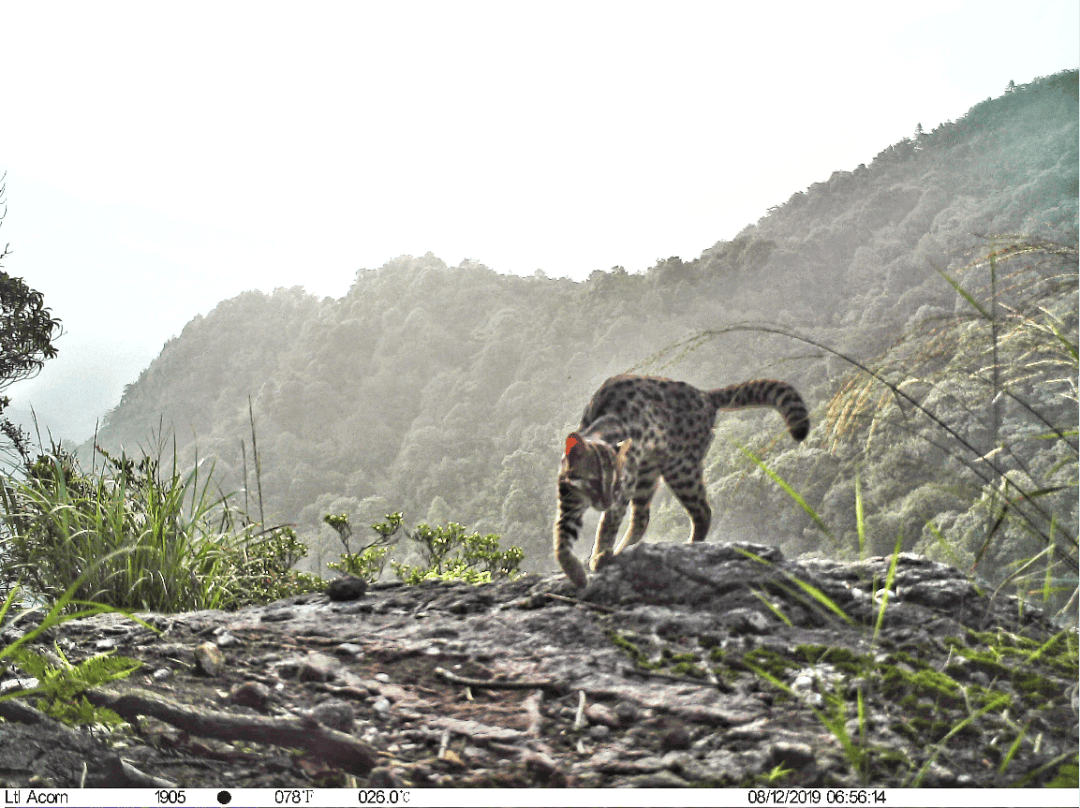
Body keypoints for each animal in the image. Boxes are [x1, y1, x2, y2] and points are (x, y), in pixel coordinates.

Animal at [552, 371, 807, 587]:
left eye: (616, 483)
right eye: (594, 480)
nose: (606, 501)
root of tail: (704, 395)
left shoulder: (625, 486)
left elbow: (607, 524)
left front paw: (599, 555)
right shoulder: (569, 502)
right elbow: (561, 539)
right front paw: (575, 572)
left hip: (680, 470)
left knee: (702, 512)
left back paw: (689, 547)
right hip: (649, 475)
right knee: (642, 518)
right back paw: (623, 549)